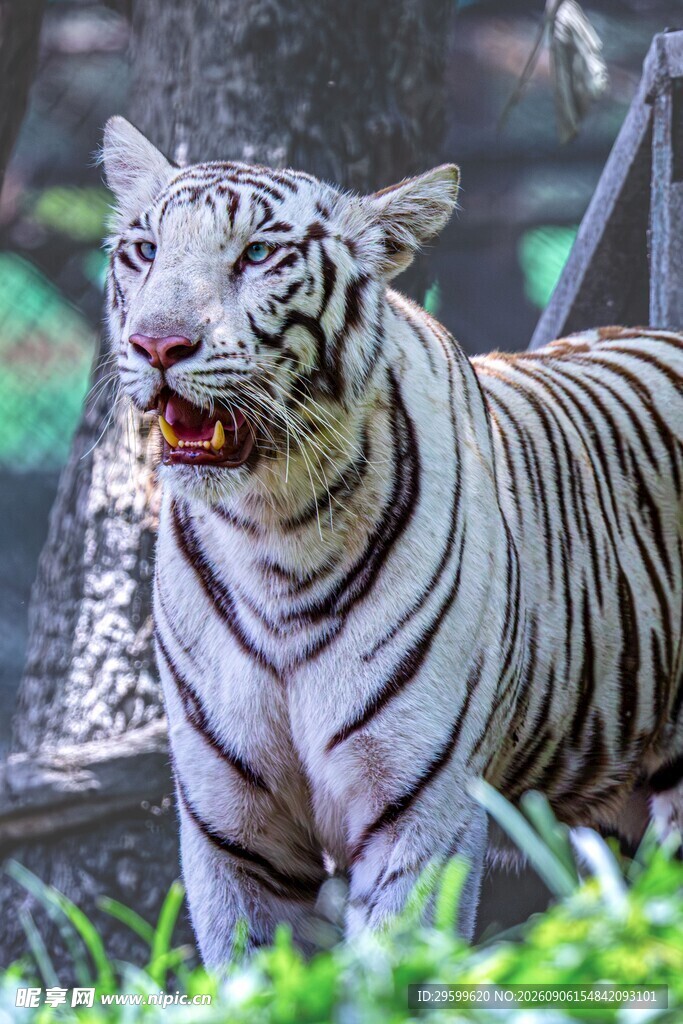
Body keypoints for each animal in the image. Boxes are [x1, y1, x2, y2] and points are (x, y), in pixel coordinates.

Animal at [103, 115, 683, 964]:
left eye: (258, 255)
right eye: (143, 250)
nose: (157, 345)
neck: (270, 533)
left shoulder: (417, 810)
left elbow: (391, 968)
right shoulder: (232, 831)